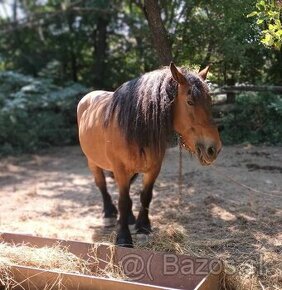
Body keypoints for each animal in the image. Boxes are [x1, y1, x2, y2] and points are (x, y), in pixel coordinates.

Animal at [76, 63, 220, 247]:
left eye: (210, 101)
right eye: (190, 102)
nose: (213, 148)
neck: (136, 127)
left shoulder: (153, 168)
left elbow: (145, 196)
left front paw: (143, 227)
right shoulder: (120, 169)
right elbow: (123, 200)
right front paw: (123, 237)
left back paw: (129, 218)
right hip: (93, 162)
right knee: (102, 186)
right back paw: (108, 214)